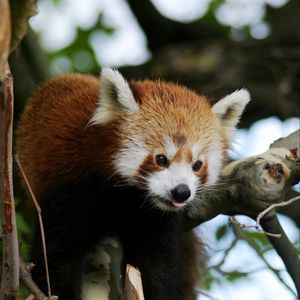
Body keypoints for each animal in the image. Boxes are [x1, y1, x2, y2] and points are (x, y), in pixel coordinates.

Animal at [16, 68, 251, 300]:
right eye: (161, 159)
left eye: (197, 164)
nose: (181, 192)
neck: (127, 196)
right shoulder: (70, 189)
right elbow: (55, 257)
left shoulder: (154, 220)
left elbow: (154, 266)